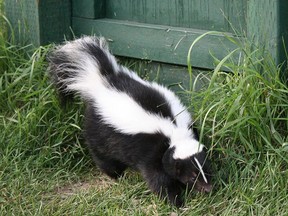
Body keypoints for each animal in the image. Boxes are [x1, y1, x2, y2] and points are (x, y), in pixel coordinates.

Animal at [47, 36, 213, 207]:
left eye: (207, 170)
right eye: (192, 176)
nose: (208, 189)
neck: (174, 132)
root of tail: (103, 81)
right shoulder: (151, 151)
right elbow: (158, 178)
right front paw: (175, 201)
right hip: (98, 129)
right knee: (102, 155)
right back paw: (116, 175)